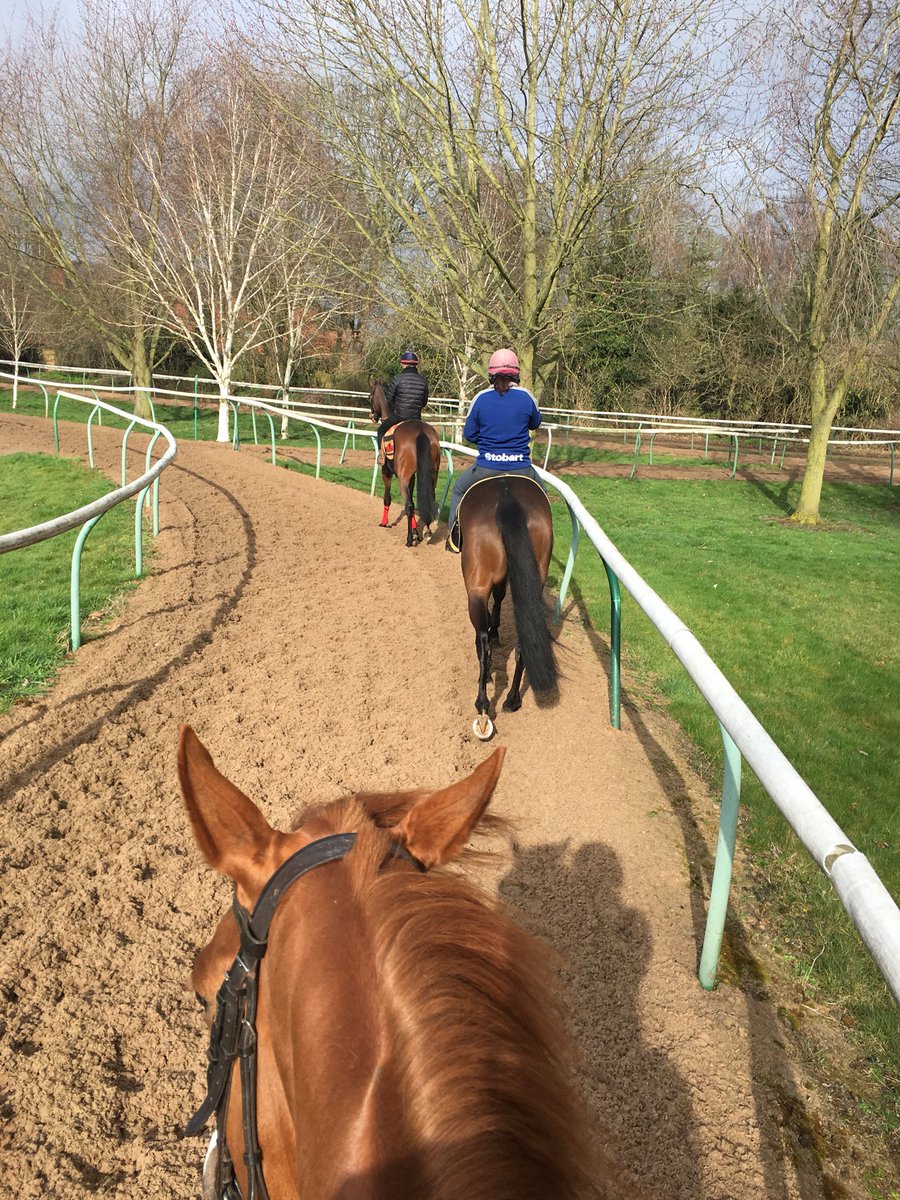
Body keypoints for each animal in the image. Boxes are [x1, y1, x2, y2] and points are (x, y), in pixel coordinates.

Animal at [369, 380, 441, 547]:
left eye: (370, 397)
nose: (372, 416)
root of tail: (421, 432)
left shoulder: (386, 472)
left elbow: (387, 498)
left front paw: (384, 522)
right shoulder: (413, 477)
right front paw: (416, 533)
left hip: (402, 477)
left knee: (408, 505)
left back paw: (408, 540)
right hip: (433, 475)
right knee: (426, 501)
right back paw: (427, 532)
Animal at [456, 475, 557, 740]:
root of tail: (507, 497)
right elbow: (501, 596)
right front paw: (497, 631)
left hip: (477, 588)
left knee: (482, 643)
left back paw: (483, 706)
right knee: (525, 641)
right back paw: (512, 700)